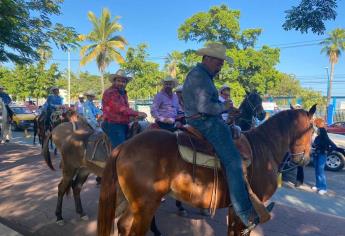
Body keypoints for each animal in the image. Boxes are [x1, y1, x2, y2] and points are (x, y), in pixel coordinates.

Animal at [97, 105, 318, 236]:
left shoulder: (234, 208)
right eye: (313, 129)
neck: (264, 148)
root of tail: (124, 146)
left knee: (122, 224)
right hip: (145, 205)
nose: (305, 159)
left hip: (133, 202)